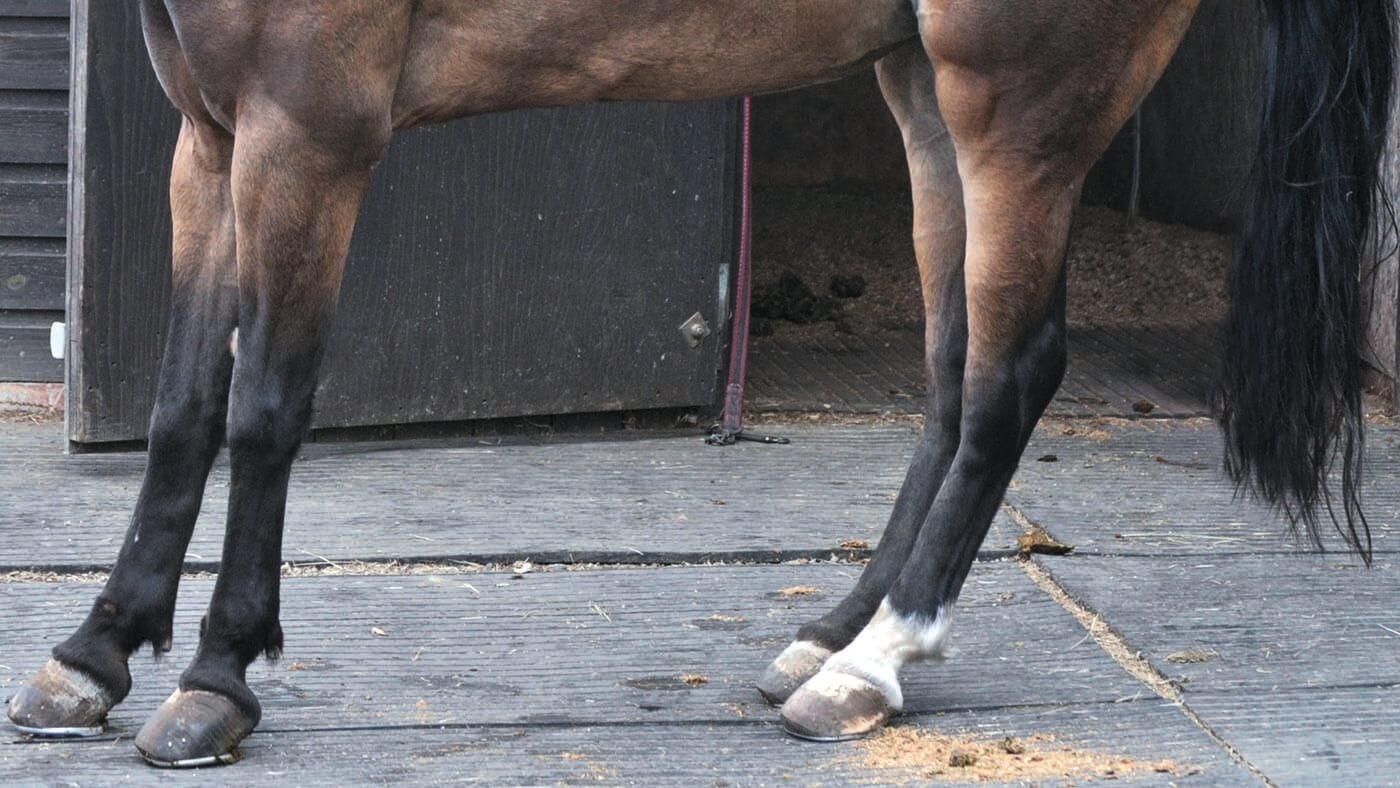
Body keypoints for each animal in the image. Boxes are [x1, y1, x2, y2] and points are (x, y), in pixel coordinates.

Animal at [7, 0, 1393, 768]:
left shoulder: (305, 134)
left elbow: (262, 412)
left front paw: (213, 681)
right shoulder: (211, 138)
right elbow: (180, 412)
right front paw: (93, 654)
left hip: (1018, 110)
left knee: (1009, 375)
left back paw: (873, 663)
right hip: (925, 93)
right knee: (951, 372)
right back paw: (832, 634)